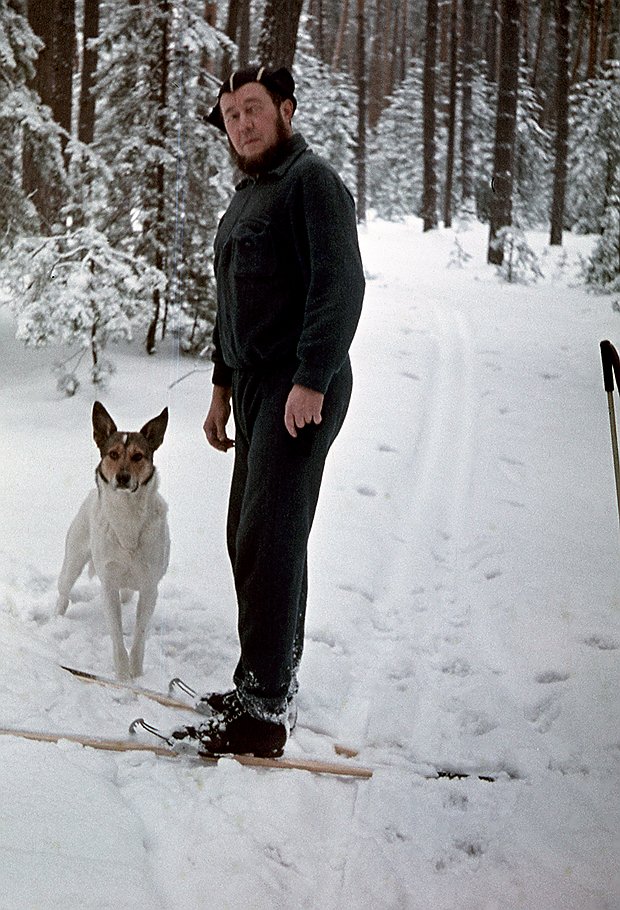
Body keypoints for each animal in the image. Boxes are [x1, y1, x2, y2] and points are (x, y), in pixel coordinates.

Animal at [57, 402, 168, 680]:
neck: (127, 517)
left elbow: (139, 637)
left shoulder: (149, 587)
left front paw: (136, 676)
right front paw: (122, 676)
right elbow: (117, 636)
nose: (122, 477)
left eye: (138, 456)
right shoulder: (108, 584)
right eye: (113, 454)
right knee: (63, 593)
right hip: (74, 558)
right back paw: (55, 620)